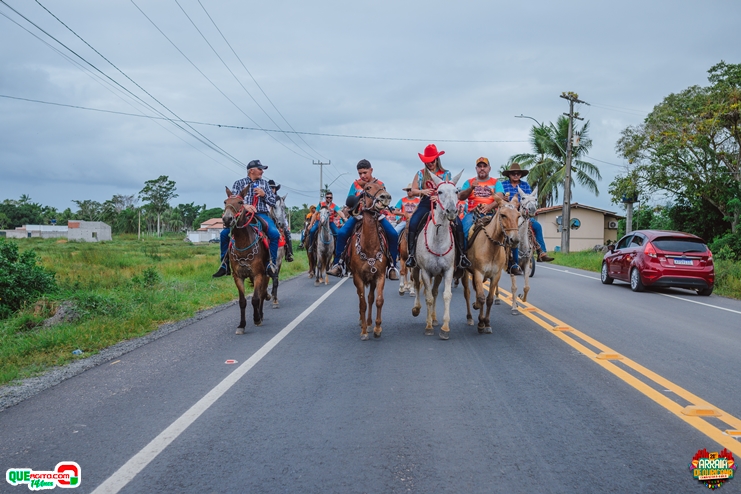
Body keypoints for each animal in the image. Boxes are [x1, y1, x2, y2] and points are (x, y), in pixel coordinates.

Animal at [222, 186, 270, 333]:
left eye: (240, 202)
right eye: (225, 202)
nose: (227, 219)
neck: (243, 246)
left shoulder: (258, 274)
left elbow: (255, 298)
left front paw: (257, 319)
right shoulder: (238, 276)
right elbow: (242, 301)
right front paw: (241, 325)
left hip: (266, 274)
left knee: (262, 294)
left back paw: (260, 314)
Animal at [346, 181, 392, 340]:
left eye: (383, 187)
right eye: (367, 188)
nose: (385, 197)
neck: (369, 246)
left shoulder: (380, 275)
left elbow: (378, 300)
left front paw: (377, 328)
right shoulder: (358, 277)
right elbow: (362, 304)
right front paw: (364, 331)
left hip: (372, 279)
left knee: (371, 297)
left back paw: (370, 323)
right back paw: (363, 322)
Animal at [410, 171, 463, 340]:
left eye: (456, 192)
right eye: (438, 192)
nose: (452, 211)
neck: (438, 239)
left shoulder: (447, 271)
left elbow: (445, 295)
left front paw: (445, 328)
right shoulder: (425, 271)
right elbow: (427, 296)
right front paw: (428, 327)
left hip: (438, 274)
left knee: (434, 292)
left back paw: (434, 319)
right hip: (415, 268)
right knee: (418, 286)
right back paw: (416, 309)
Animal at [462, 196, 520, 332]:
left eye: (518, 216)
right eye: (503, 215)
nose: (514, 240)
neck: (491, 247)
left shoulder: (495, 275)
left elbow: (488, 299)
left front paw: (486, 323)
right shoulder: (478, 273)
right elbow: (481, 297)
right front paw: (479, 317)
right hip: (465, 272)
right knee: (467, 293)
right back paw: (470, 317)